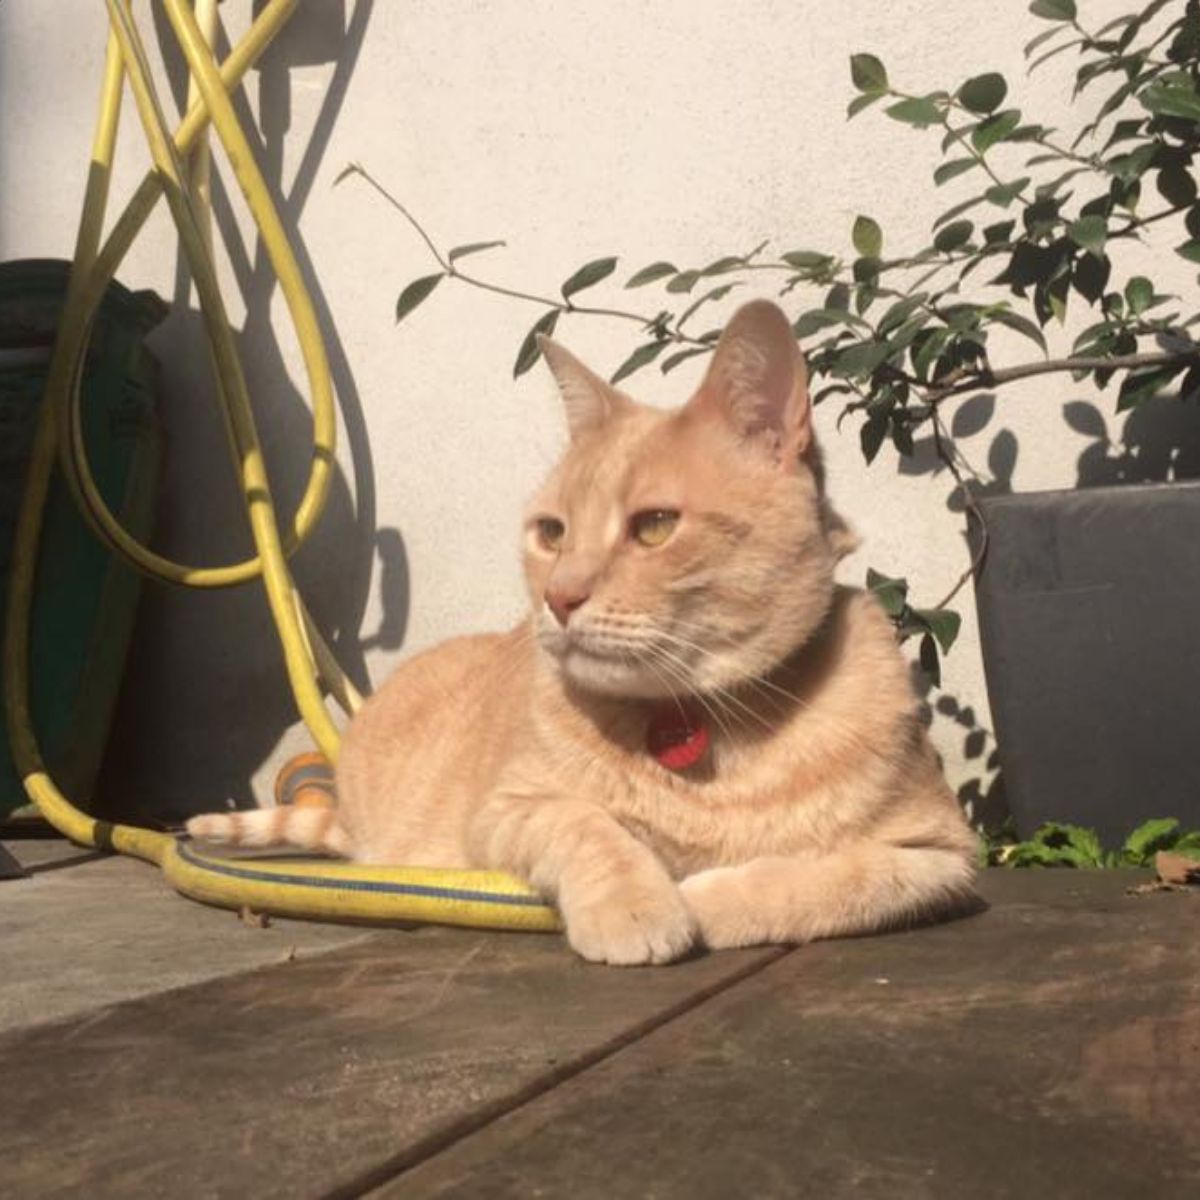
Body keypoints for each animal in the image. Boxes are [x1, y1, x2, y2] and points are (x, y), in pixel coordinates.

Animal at [187, 300, 974, 964]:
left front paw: (707, 899)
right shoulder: (507, 810)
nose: (558, 597)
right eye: (552, 532)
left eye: (654, 526)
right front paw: (638, 903)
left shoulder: (943, 857)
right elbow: (587, 825)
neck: (703, 727)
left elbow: (831, 880)